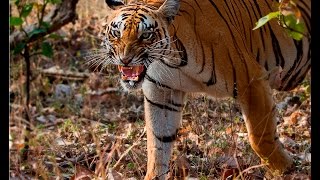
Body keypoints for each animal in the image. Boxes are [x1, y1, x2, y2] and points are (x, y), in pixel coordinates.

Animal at [85, 0, 310, 179]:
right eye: (117, 33)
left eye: (146, 35)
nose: (125, 59)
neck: (171, 58)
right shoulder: (161, 92)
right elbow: (157, 145)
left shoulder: (251, 80)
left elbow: (259, 138)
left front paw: (286, 169)